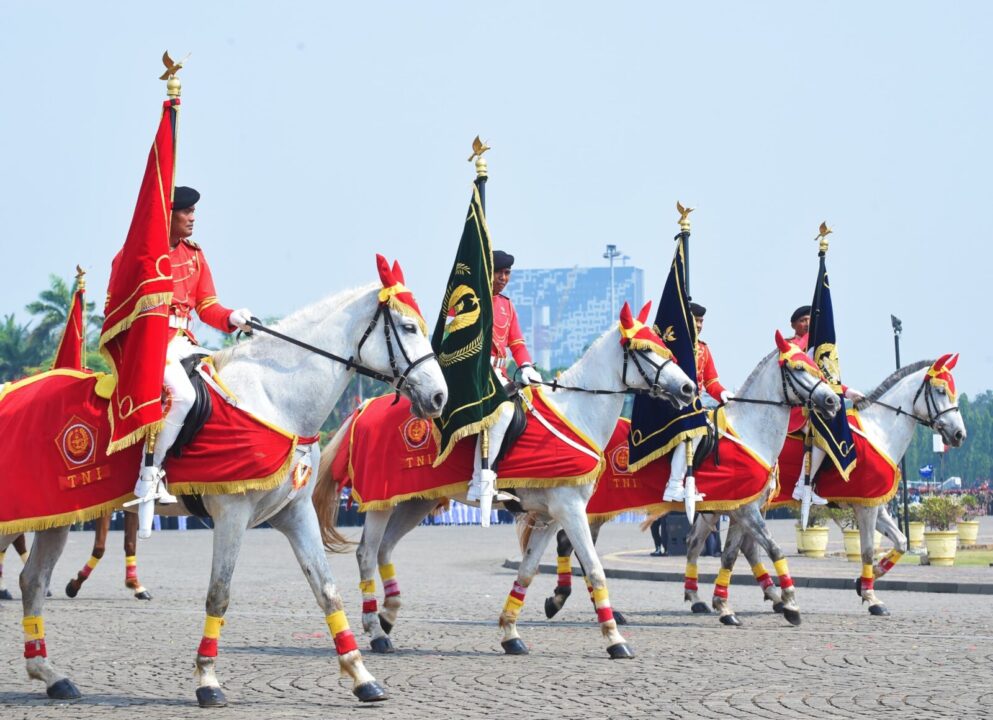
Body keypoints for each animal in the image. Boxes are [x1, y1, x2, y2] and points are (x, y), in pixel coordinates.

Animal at [0, 256, 446, 704]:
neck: (274, 398)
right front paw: (207, 679)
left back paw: (50, 674)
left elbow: (326, 589)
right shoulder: (232, 513)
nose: (440, 397)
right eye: (409, 327)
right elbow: (220, 594)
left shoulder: (294, 512)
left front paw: (361, 675)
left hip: (53, 518)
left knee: (32, 581)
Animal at [314, 302, 692, 660]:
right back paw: (375, 630)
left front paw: (511, 633)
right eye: (644, 349)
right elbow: (595, 570)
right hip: (381, 499)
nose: (688, 388)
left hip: (416, 501)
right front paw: (615, 640)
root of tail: (364, 407)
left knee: (385, 549)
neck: (575, 411)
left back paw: (388, 616)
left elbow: (527, 571)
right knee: (367, 552)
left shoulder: (549, 517)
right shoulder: (570, 510)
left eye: (663, 347)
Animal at [548, 336, 840, 624]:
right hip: (593, 507)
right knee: (570, 543)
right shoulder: (745, 510)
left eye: (815, 367)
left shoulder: (737, 509)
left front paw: (723, 606)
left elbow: (730, 556)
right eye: (798, 368)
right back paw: (570, 601)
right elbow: (773, 549)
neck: (750, 432)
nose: (832, 401)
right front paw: (791, 604)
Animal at [692, 354, 964, 620]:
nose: (959, 434)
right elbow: (867, 550)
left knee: (720, 544)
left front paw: (863, 582)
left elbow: (901, 541)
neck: (879, 430)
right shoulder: (865, 507)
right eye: (941, 390)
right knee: (703, 542)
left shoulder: (876, 505)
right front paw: (871, 598)